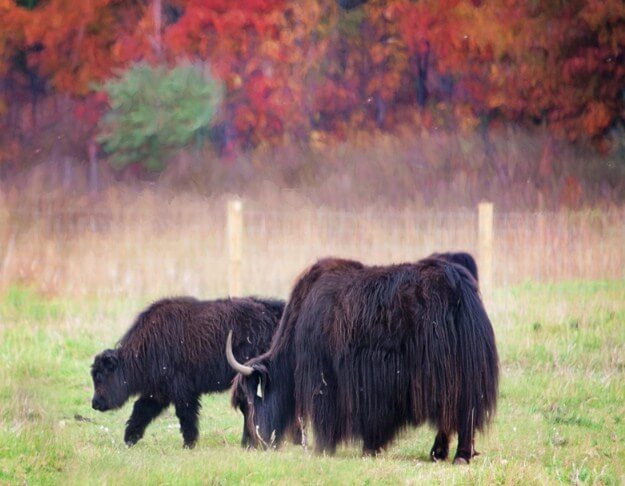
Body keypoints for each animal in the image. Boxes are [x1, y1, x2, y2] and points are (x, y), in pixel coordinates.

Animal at [90, 296, 282, 448]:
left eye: (100, 376)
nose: (95, 403)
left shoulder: (181, 391)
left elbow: (186, 415)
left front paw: (189, 444)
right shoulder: (158, 392)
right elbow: (141, 410)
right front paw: (129, 439)